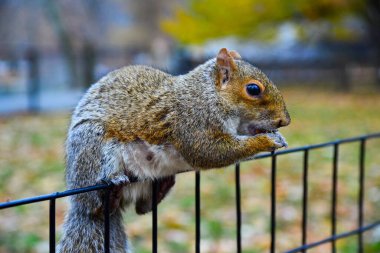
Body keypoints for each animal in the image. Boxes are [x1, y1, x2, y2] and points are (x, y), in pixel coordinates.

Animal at [56, 48, 290, 253]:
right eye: (253, 89)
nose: (285, 121)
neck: (209, 95)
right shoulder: (192, 122)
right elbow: (209, 152)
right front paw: (265, 140)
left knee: (142, 207)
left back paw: (161, 188)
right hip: (91, 147)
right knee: (94, 205)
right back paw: (110, 191)